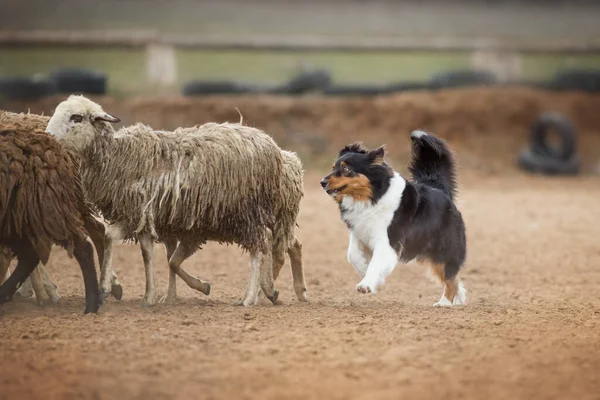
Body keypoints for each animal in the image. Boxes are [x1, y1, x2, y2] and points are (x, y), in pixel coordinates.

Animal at [44, 94, 284, 306]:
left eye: (76, 117)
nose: (46, 137)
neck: (117, 157)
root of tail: (268, 142)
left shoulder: (135, 213)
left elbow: (112, 238)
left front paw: (104, 288)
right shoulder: (141, 216)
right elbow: (147, 254)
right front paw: (149, 296)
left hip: (247, 211)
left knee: (259, 247)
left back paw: (249, 297)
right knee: (267, 239)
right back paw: (268, 290)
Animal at [322, 131, 466, 306]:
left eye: (346, 168)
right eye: (333, 168)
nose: (322, 182)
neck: (372, 197)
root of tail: (438, 188)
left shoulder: (387, 241)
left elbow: (376, 263)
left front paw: (366, 284)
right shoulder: (359, 232)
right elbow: (353, 255)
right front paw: (365, 272)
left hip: (442, 250)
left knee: (450, 276)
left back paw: (444, 302)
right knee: (453, 278)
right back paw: (457, 298)